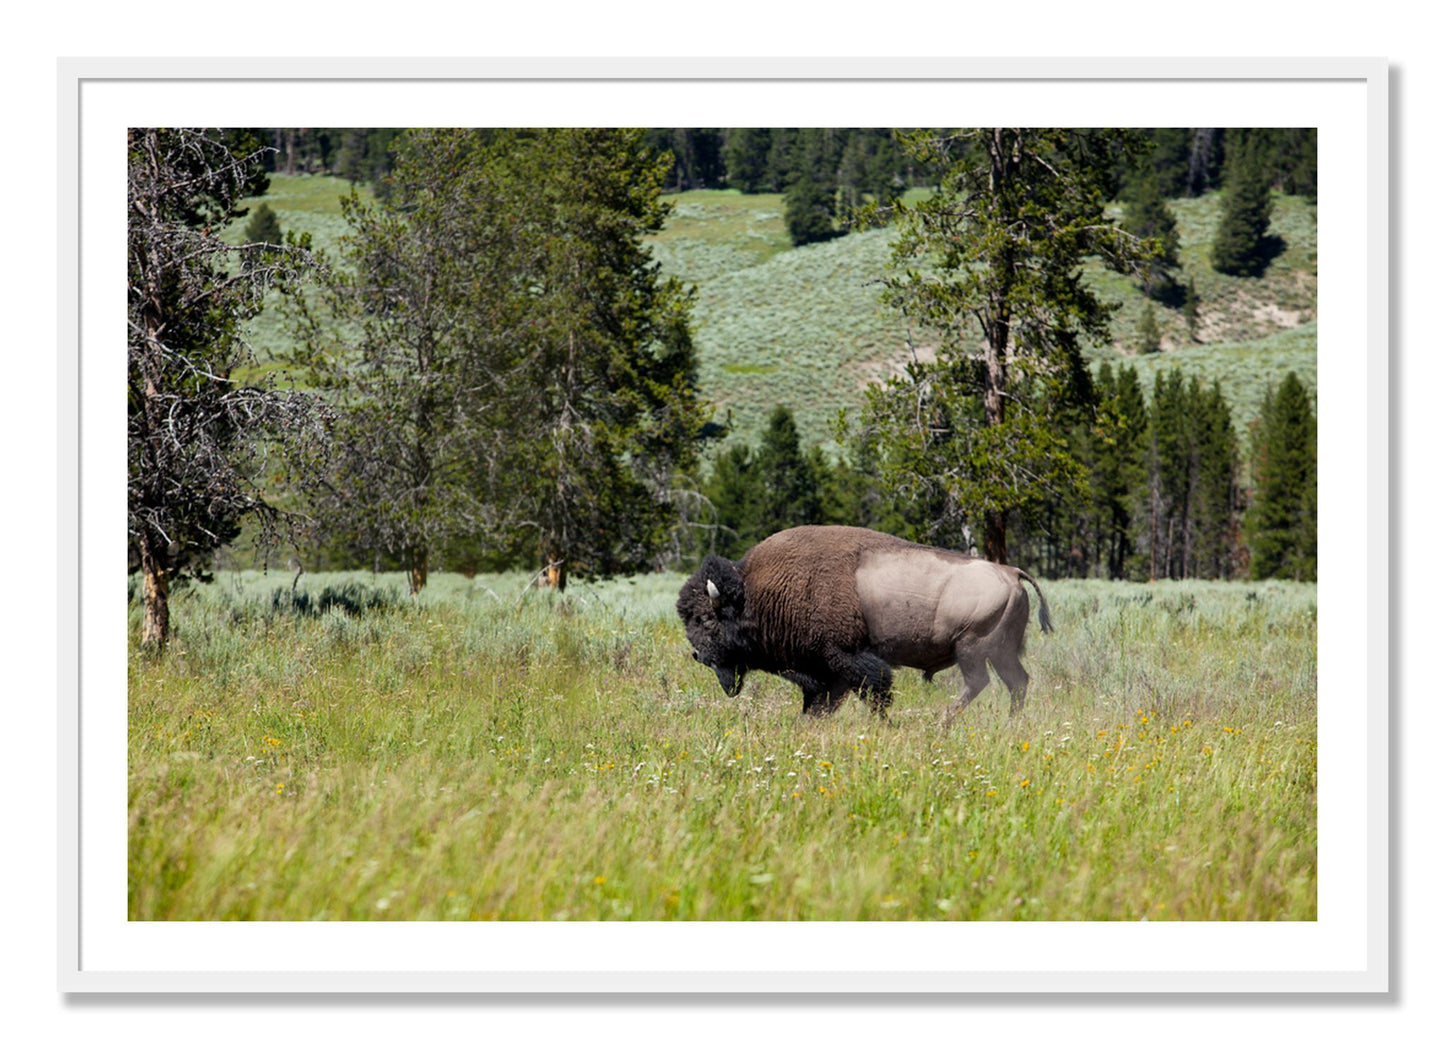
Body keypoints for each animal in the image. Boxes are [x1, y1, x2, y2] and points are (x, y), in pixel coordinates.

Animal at [676, 525, 1052, 721]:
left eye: (706, 620)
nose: (698, 655)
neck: (756, 592)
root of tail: (1010, 572)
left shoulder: (846, 659)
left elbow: (874, 692)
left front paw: (884, 724)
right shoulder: (825, 672)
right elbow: (821, 703)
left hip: (972, 649)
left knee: (980, 682)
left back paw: (942, 722)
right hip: (1000, 652)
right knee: (1017, 682)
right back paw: (1009, 723)